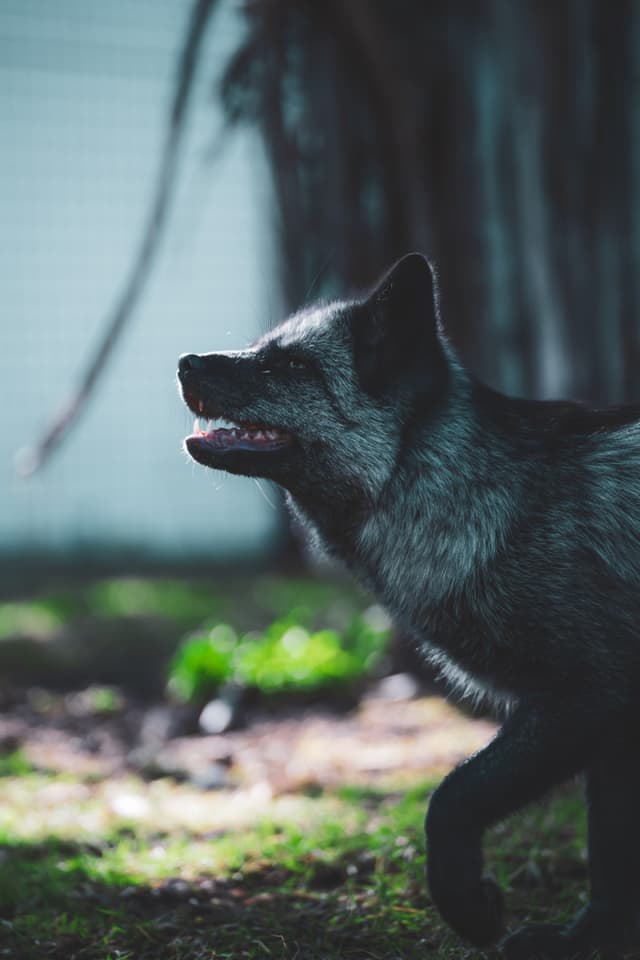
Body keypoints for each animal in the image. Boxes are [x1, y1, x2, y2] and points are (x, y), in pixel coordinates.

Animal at [177, 253, 640, 959]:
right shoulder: (612, 728)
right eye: (262, 349)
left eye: (291, 366)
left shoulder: (593, 695)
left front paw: (471, 909)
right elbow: (611, 863)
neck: (494, 504)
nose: (184, 362)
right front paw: (587, 941)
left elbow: (452, 798)